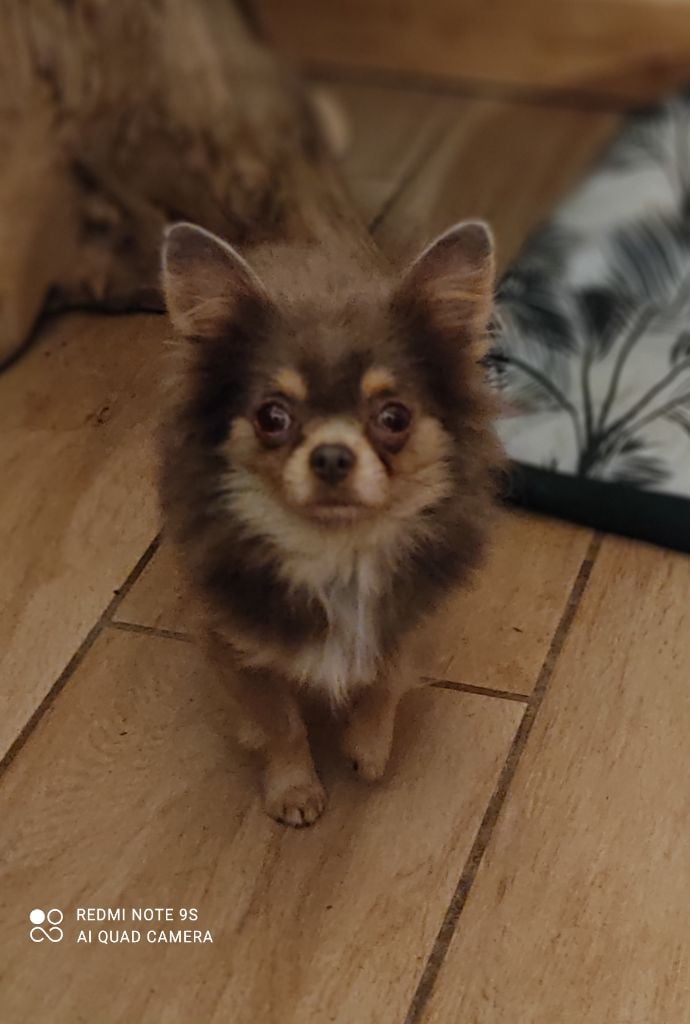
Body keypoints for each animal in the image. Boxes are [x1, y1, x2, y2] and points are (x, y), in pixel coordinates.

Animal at [159, 219, 500, 826]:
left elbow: (387, 681)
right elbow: (280, 724)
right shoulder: (234, 646)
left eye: (395, 417)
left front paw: (367, 747)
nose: (333, 456)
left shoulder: (412, 619)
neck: (338, 552)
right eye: (272, 416)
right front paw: (294, 788)